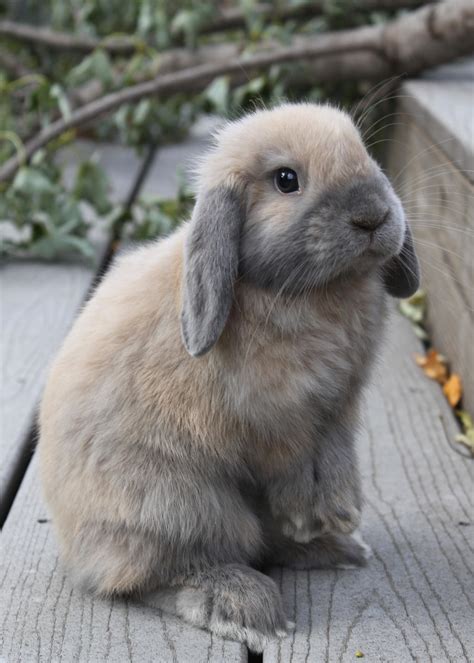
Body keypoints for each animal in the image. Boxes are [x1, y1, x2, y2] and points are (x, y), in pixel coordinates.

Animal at [39, 102, 419, 653]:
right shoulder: (275, 420)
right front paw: (317, 514)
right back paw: (245, 605)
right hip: (181, 506)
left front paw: (338, 513)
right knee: (164, 572)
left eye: (364, 152)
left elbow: (334, 454)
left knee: (263, 545)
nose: (373, 216)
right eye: (286, 180)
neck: (311, 291)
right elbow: (295, 463)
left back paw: (337, 548)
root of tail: (74, 551)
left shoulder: (339, 408)